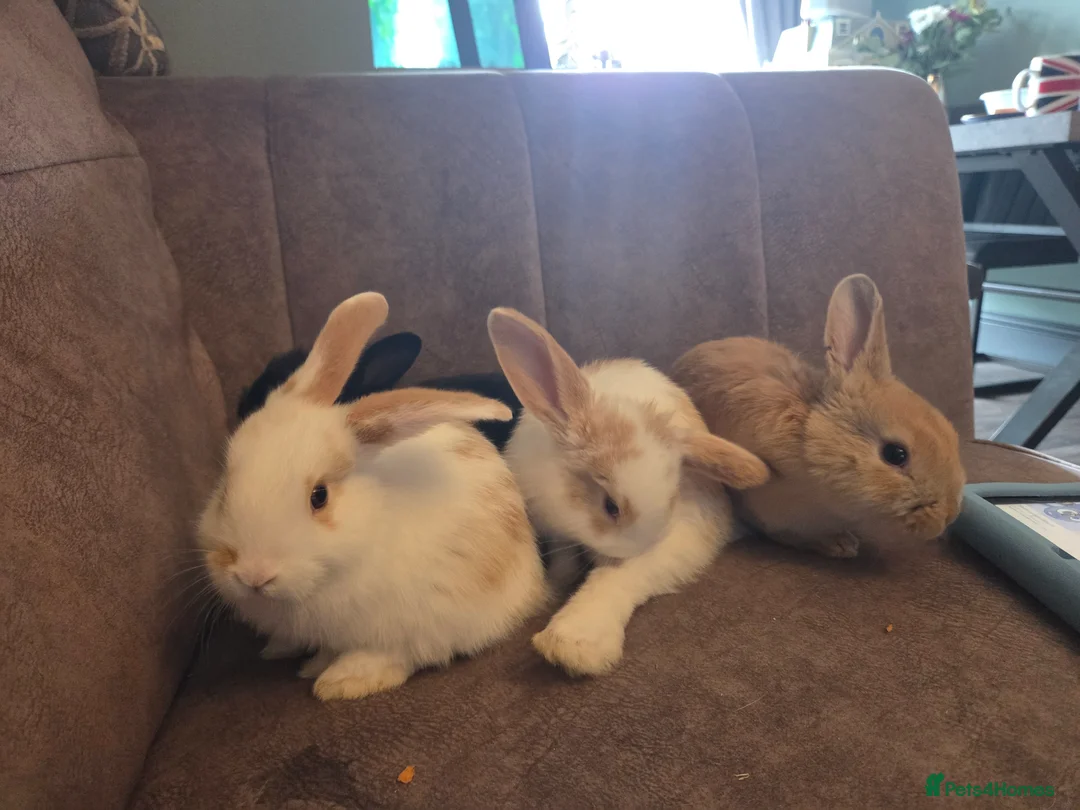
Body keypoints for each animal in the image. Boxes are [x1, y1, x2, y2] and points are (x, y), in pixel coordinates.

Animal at [485, 308, 769, 676]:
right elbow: (563, 557)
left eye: (672, 498)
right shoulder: (550, 524)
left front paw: (573, 648)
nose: (631, 550)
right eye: (611, 506)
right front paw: (560, 581)